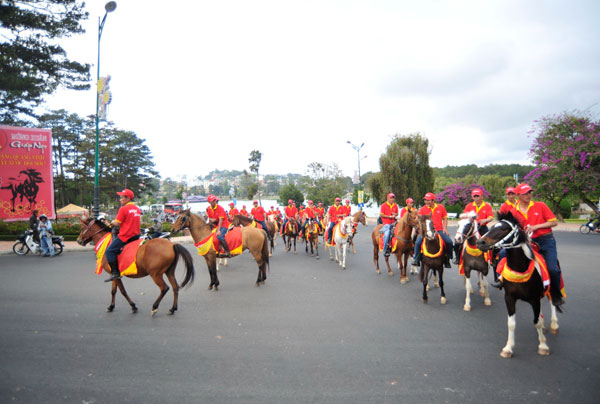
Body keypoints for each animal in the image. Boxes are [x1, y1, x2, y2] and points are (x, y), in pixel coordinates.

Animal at [476, 211, 560, 356]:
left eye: (503, 229)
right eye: (492, 227)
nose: (481, 242)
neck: (519, 269)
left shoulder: (534, 300)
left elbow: (536, 322)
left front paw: (543, 346)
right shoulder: (510, 298)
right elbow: (511, 324)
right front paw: (508, 348)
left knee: (552, 302)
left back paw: (554, 324)